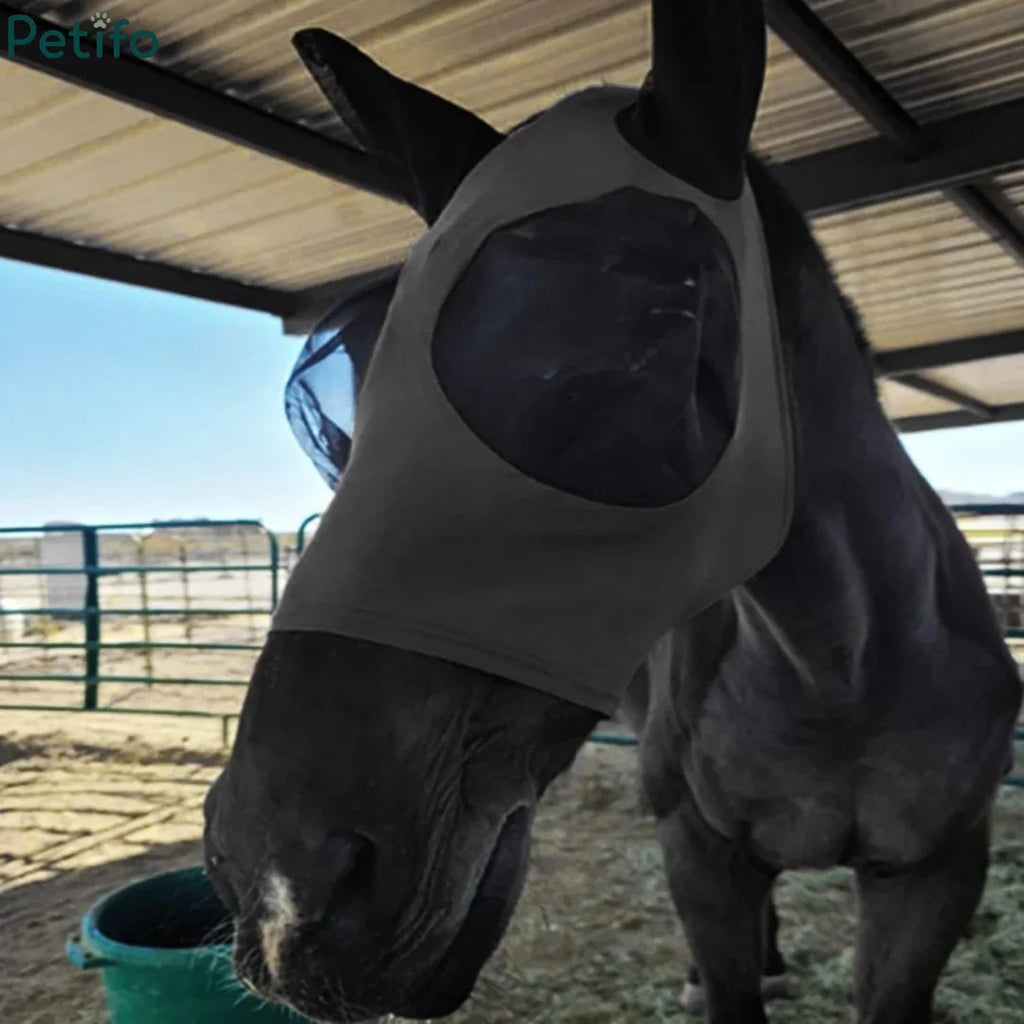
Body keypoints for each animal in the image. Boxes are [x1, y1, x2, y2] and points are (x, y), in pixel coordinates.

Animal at [203, 3, 1022, 1022]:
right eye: (341, 423)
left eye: (650, 335)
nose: (278, 886)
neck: (841, 669)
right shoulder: (701, 859)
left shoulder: (936, 877)